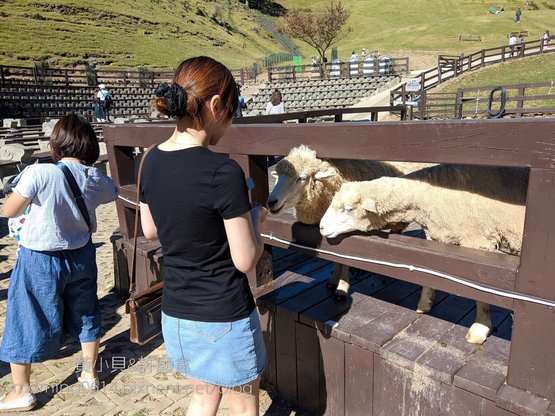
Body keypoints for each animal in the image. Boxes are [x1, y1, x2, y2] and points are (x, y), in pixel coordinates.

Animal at [268, 145, 406, 298]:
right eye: (278, 175)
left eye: (301, 178)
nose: (271, 202)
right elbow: (335, 256)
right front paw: (334, 279)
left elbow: (344, 258)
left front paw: (342, 287)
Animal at [320, 164, 528, 342]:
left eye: (348, 209)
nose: (321, 227)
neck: (430, 194)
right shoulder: (434, 236)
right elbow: (427, 272)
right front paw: (424, 303)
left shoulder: (478, 241)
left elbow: (481, 293)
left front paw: (480, 328)